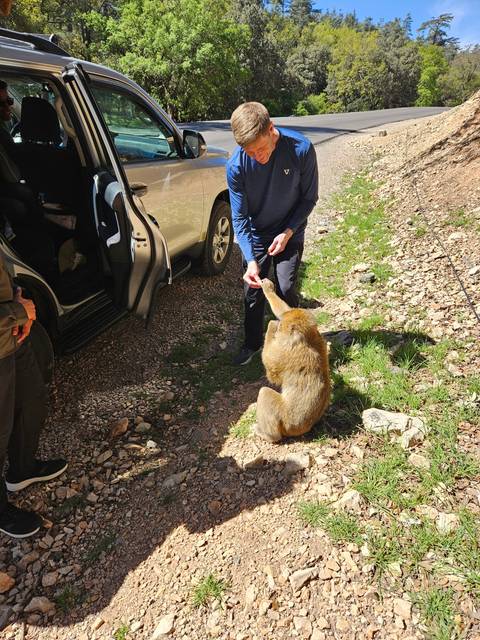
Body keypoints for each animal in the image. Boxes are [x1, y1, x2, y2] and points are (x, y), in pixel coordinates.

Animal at [252, 278, 331, 443]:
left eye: (283, 327)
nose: (280, 327)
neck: (306, 339)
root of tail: (304, 428)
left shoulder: (284, 351)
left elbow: (272, 373)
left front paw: (272, 325)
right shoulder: (317, 337)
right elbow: (285, 310)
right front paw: (268, 288)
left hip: (286, 420)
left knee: (265, 393)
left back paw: (268, 435)